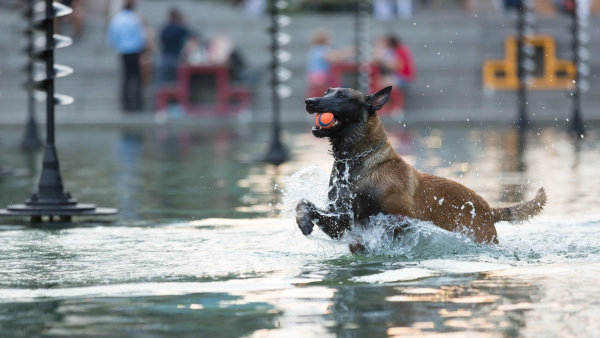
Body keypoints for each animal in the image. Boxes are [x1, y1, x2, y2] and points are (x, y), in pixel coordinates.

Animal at [296, 87, 548, 254]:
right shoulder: (340, 222)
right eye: (327, 91)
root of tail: (489, 209)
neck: (358, 163)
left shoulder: (406, 218)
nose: (309, 101)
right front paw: (304, 221)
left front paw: (360, 244)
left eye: (341, 96)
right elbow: (303, 203)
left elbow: (379, 228)